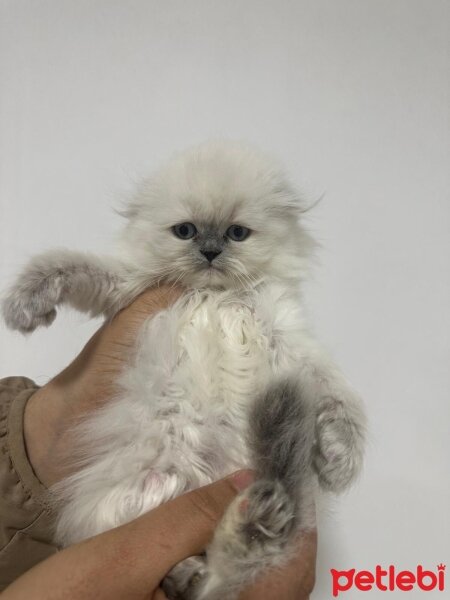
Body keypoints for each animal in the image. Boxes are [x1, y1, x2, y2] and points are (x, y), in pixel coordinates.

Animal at [1, 142, 366, 600]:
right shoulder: (128, 285)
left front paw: (339, 462)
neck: (217, 295)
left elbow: (339, 399)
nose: (210, 253)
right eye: (186, 231)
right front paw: (25, 307)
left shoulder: (292, 343)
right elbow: (65, 265)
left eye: (236, 234)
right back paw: (193, 574)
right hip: (153, 484)